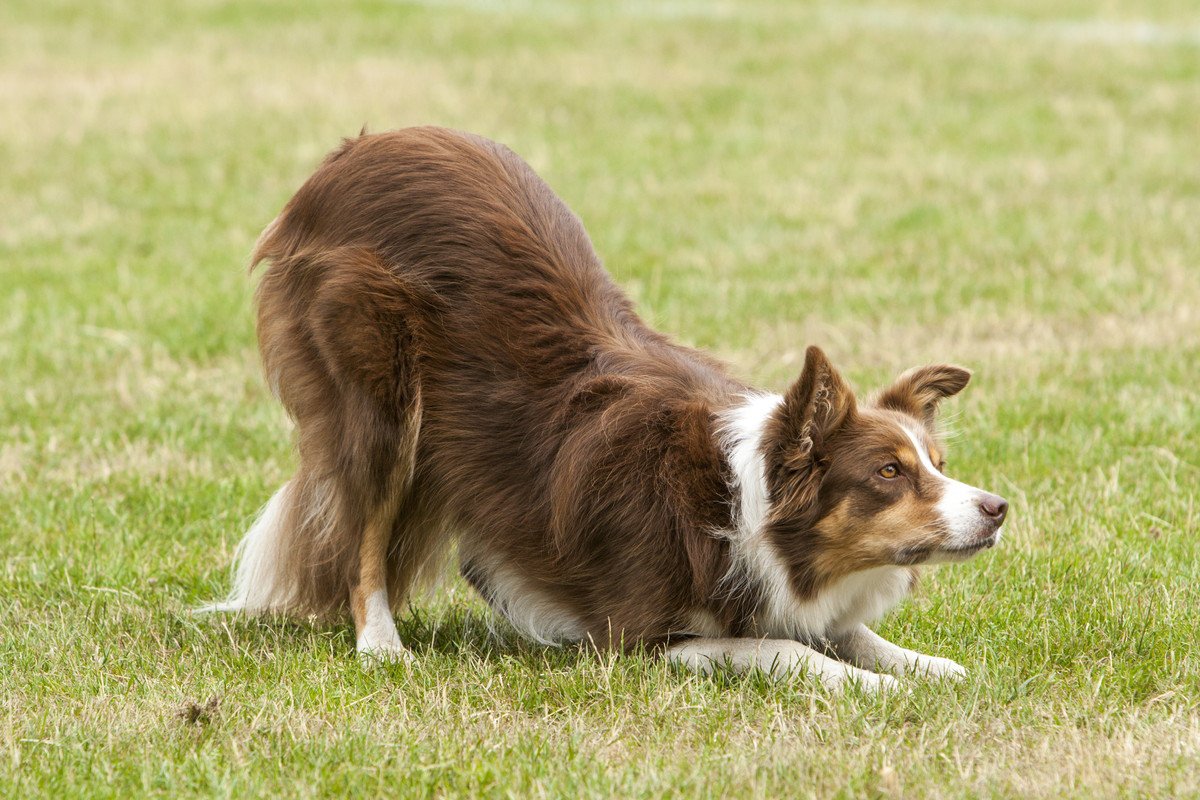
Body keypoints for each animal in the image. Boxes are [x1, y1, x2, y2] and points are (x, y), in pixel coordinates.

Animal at [206, 128, 1003, 690]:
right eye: (889, 473)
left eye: (938, 464)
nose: (998, 508)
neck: (737, 501)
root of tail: (353, 152)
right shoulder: (638, 639)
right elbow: (784, 648)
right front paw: (868, 683)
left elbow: (851, 634)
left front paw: (925, 665)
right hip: (382, 401)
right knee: (364, 538)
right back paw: (381, 645)